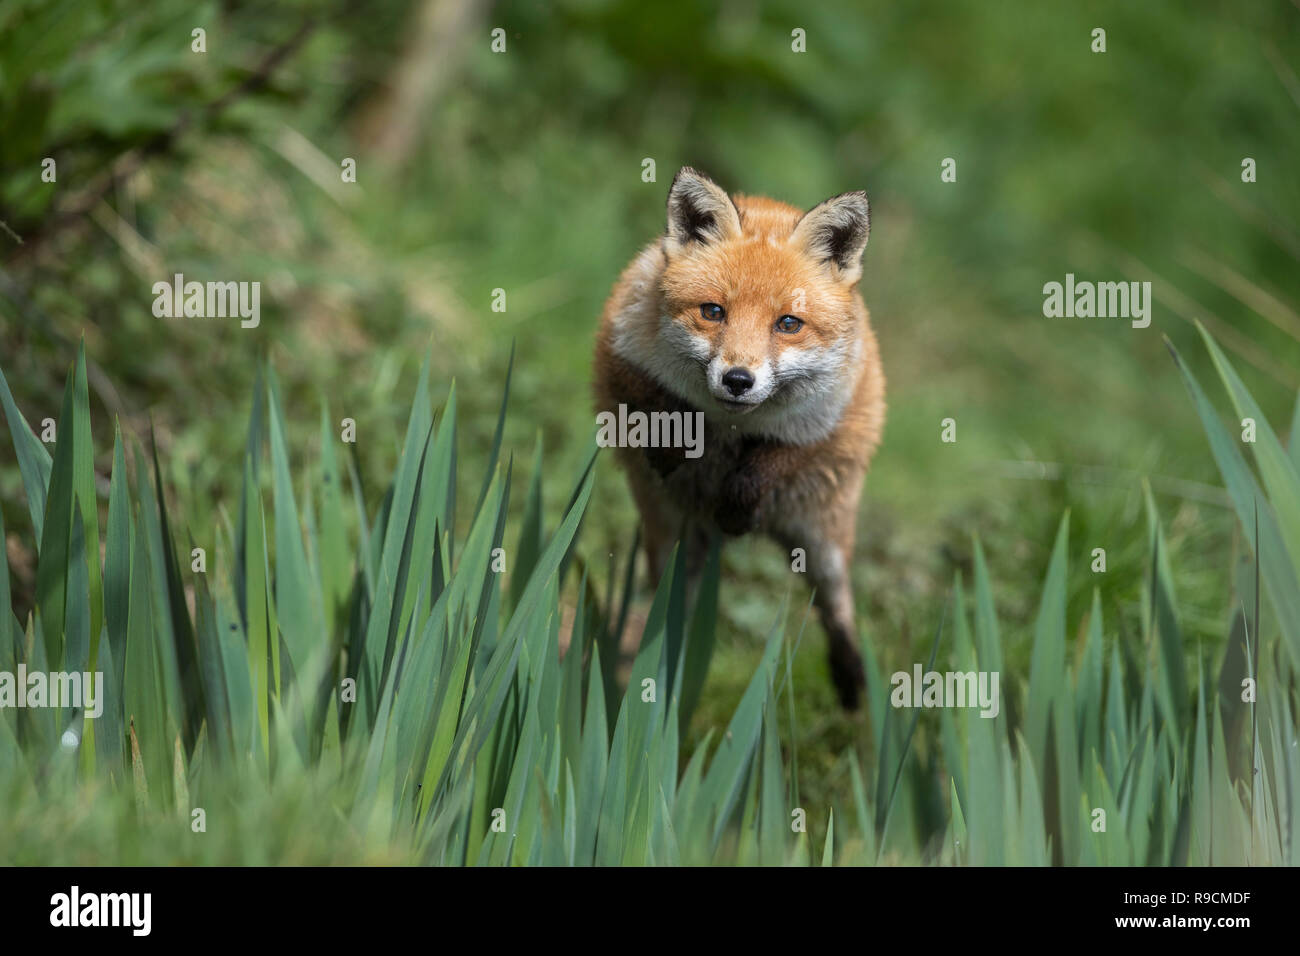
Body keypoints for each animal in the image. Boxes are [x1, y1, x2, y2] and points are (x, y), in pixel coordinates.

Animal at [592, 167, 885, 709]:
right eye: (713, 312)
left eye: (788, 323)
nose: (737, 380)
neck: (734, 425)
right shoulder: (618, 353)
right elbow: (652, 403)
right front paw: (674, 445)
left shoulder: (825, 420)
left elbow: (771, 462)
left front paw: (738, 505)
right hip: (672, 541)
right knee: (674, 616)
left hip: (823, 544)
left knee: (837, 612)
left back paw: (852, 680)